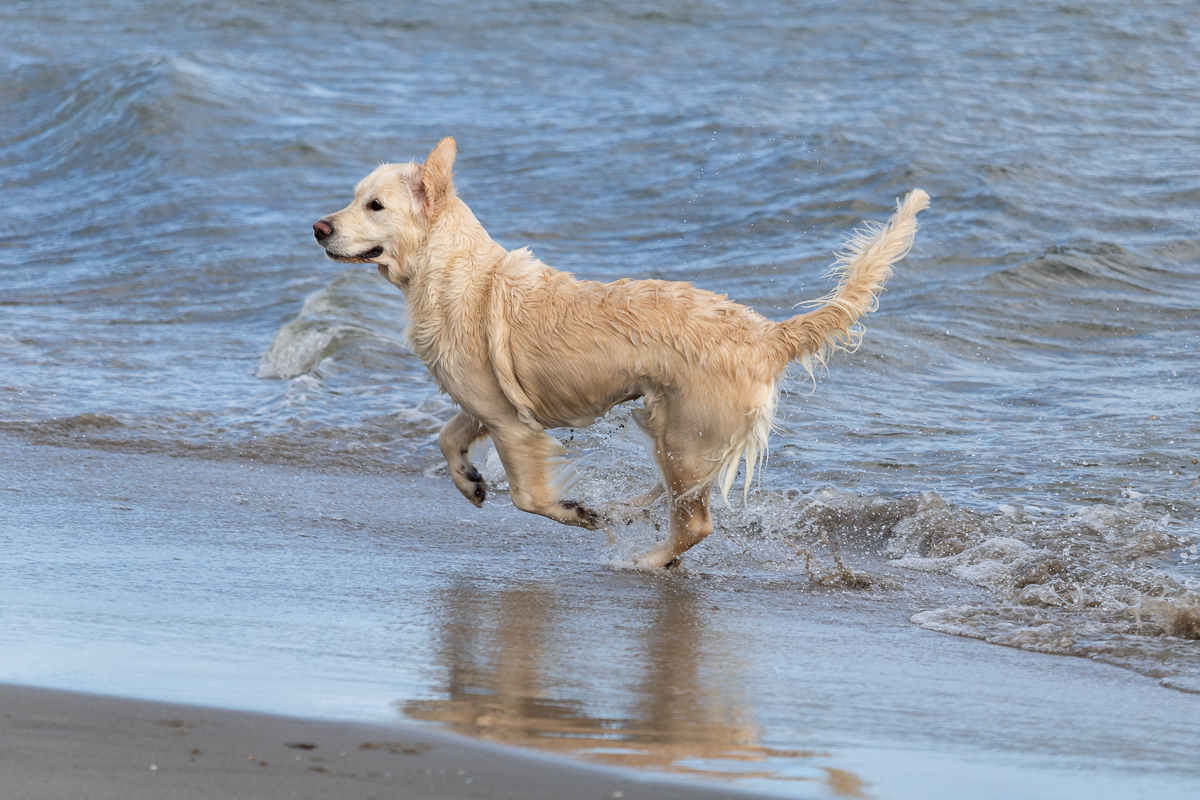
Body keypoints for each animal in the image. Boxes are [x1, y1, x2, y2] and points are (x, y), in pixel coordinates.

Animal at [312, 137, 926, 566]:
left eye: (374, 205)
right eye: (354, 199)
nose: (318, 227)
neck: (453, 272)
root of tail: (767, 333)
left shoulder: (512, 425)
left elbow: (527, 497)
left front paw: (576, 511)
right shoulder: (486, 405)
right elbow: (447, 436)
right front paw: (468, 480)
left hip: (683, 432)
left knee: (696, 522)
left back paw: (646, 560)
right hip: (672, 430)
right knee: (685, 498)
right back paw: (634, 508)